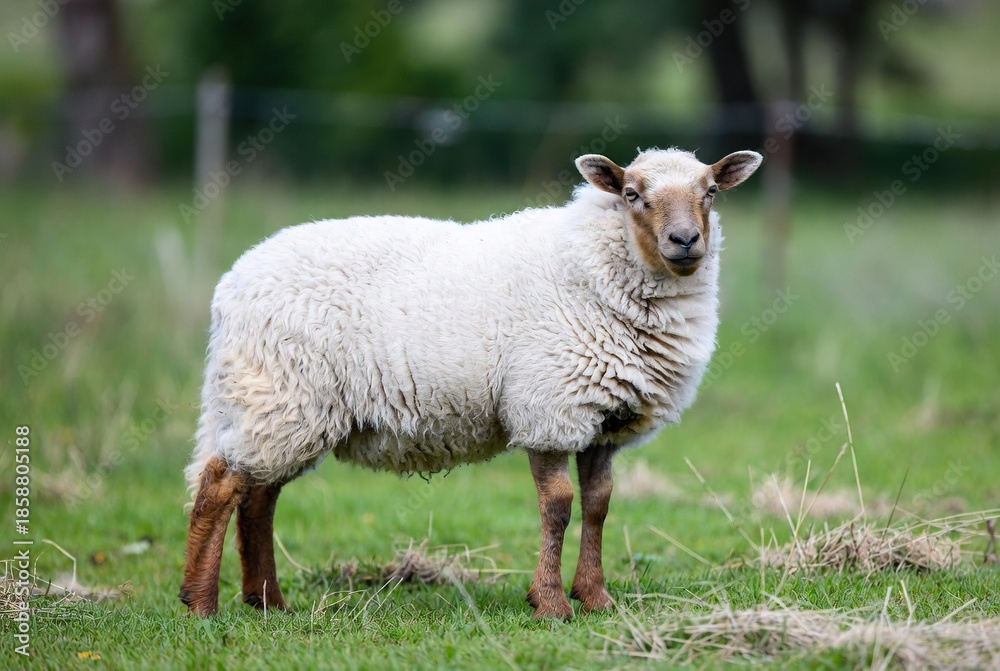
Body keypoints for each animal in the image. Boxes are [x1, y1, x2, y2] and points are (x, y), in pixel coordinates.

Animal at [180, 147, 762, 618]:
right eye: (631, 194)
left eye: (710, 192)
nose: (685, 241)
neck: (594, 269)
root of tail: (232, 283)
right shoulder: (547, 405)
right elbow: (559, 506)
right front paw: (550, 603)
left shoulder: (603, 419)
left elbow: (599, 503)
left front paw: (596, 598)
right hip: (278, 394)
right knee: (219, 487)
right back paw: (201, 605)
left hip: (283, 409)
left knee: (258, 498)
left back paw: (267, 603)